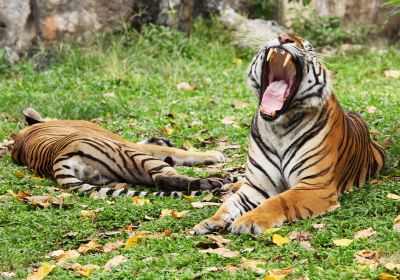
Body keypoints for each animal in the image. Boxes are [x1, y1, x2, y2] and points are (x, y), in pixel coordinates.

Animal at [11, 107, 228, 197]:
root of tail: (56, 160)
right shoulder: (129, 144)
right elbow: (176, 151)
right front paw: (214, 155)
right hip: (131, 154)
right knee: (162, 178)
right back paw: (213, 182)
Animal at [195, 33, 386, 234]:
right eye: (277, 34)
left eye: (308, 47)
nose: (284, 37)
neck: (279, 127)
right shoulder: (256, 185)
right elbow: (230, 205)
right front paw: (210, 221)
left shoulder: (314, 185)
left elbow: (278, 200)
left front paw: (248, 221)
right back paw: (230, 186)